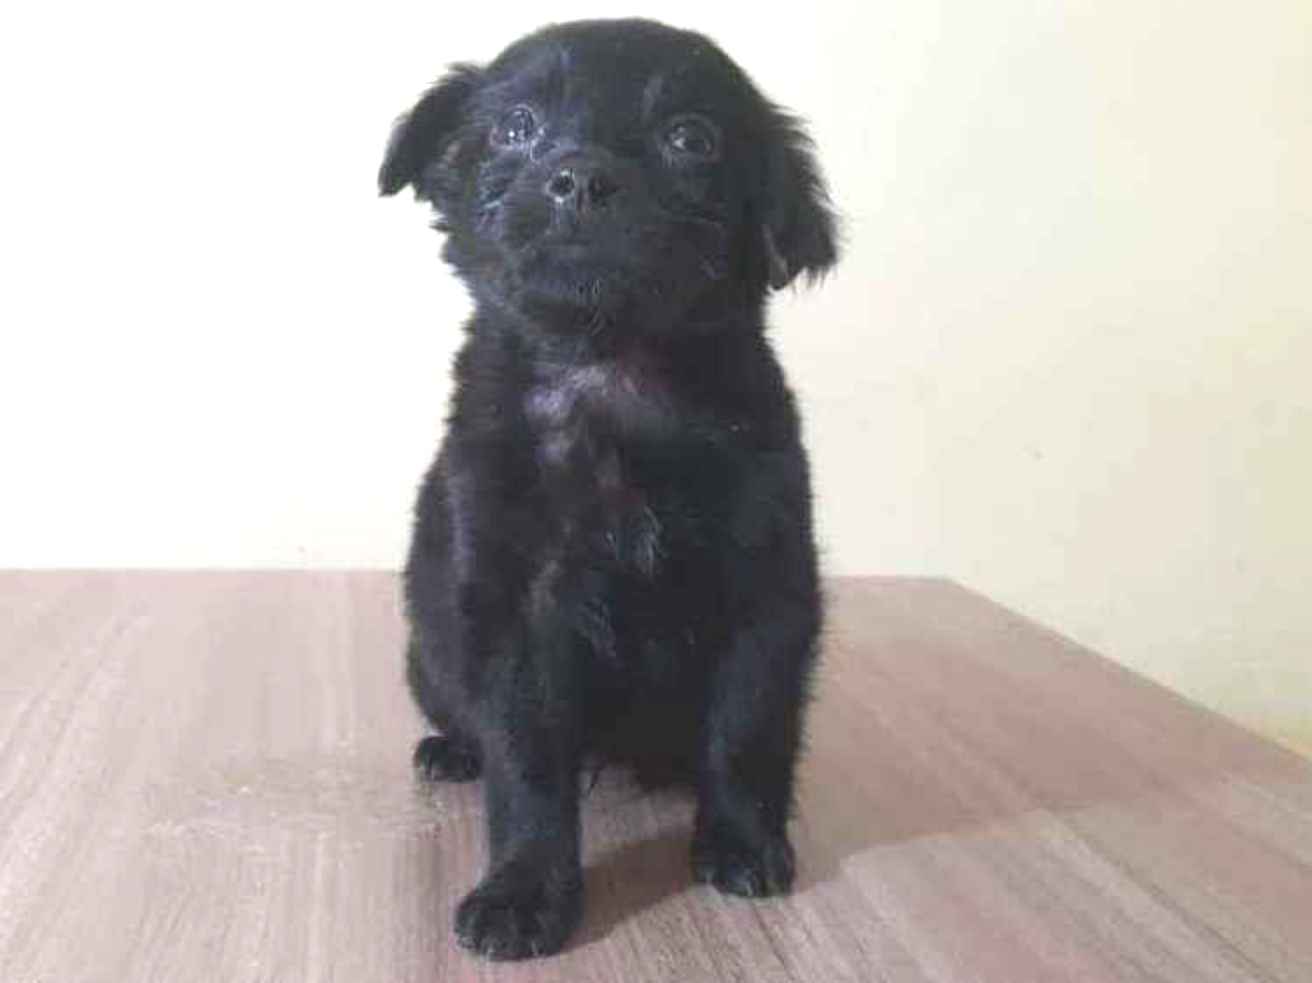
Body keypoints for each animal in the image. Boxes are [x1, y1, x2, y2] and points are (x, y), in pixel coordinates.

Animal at [379, 18, 837, 959]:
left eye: (690, 139)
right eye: (514, 128)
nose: (581, 177)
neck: (610, 368)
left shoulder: (766, 593)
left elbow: (747, 729)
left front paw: (743, 843)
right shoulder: (518, 611)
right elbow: (527, 767)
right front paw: (524, 891)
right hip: (428, 660)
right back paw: (452, 751)